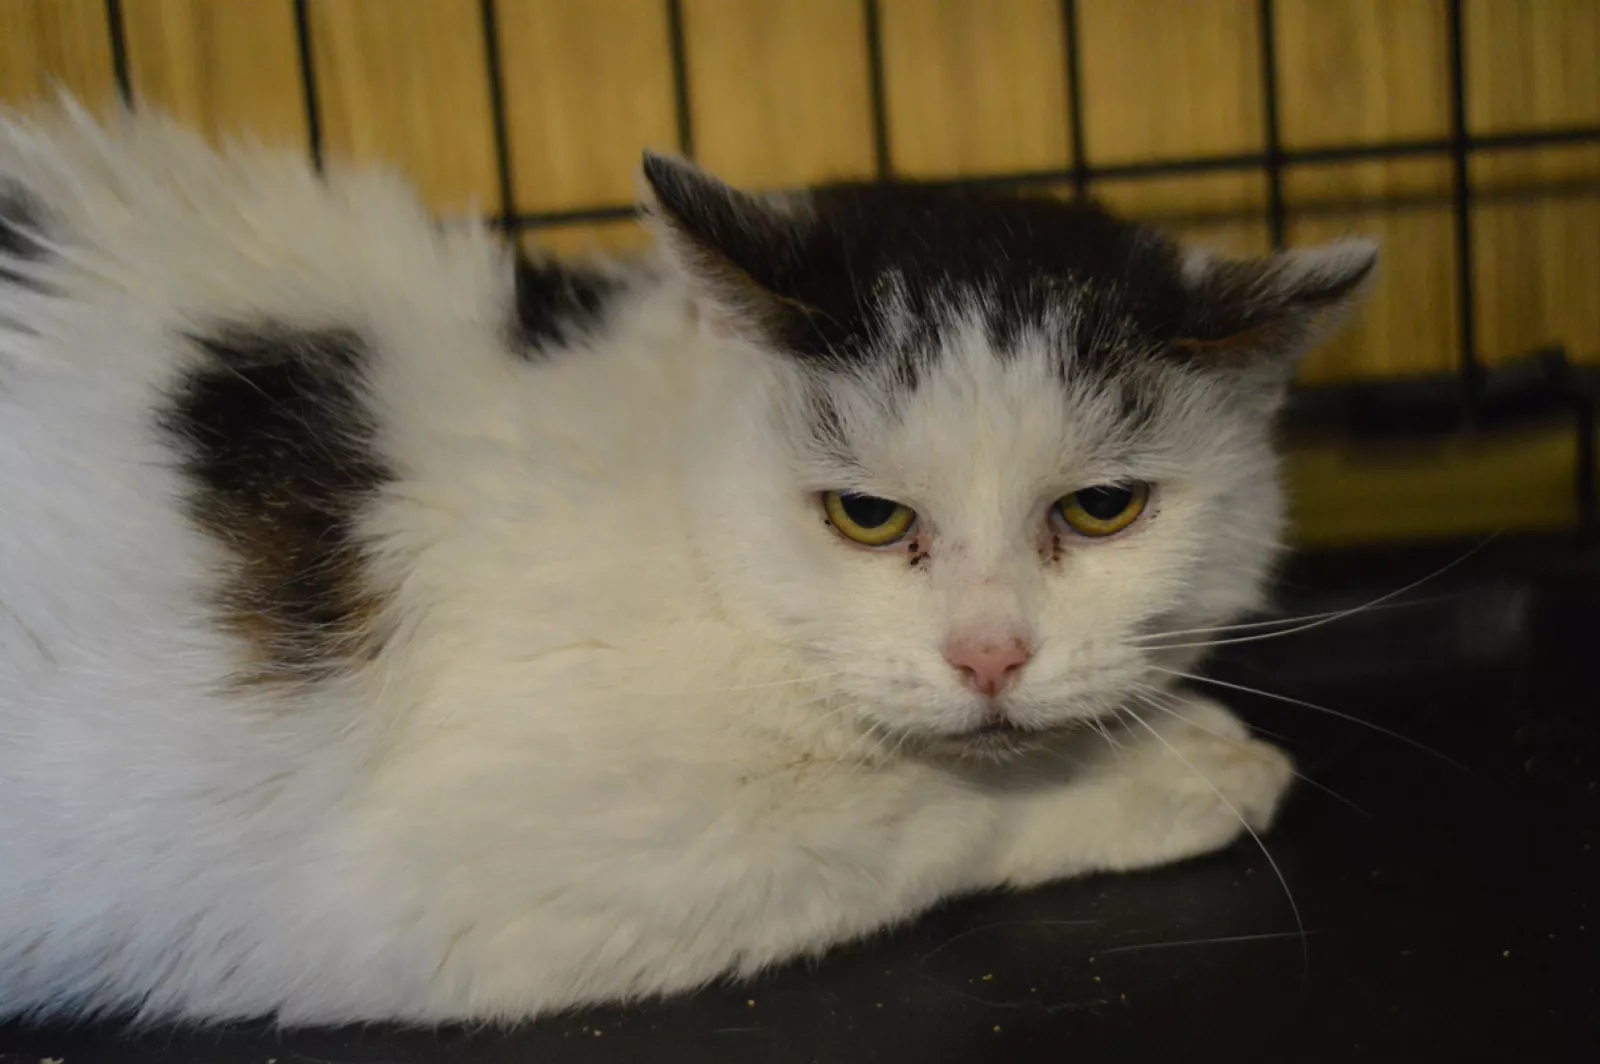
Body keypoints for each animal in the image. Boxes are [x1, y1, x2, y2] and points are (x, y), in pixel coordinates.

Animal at [0, 98, 1375, 1025]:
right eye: (865, 516)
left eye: (1099, 508)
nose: (988, 654)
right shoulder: (445, 878)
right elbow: (923, 805)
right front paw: (1179, 769)